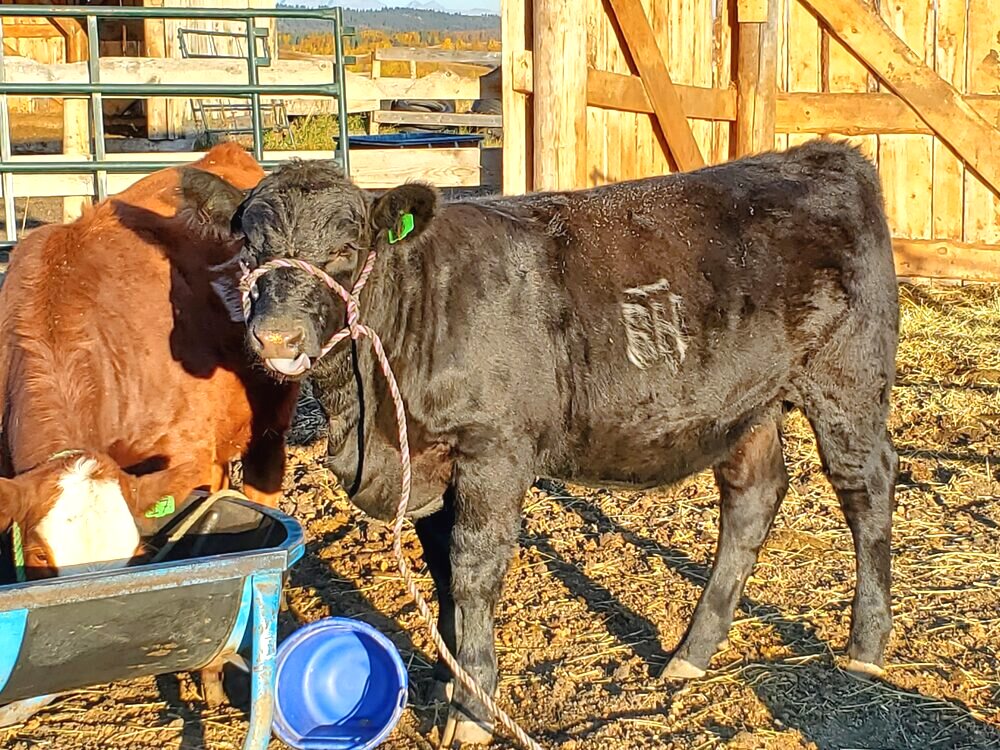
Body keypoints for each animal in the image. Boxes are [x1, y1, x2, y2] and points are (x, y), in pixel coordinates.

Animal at [227, 139, 900, 744]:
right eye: (250, 248)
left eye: (345, 249)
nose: (277, 336)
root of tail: (826, 155)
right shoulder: (432, 463)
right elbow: (441, 569)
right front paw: (449, 683)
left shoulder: (493, 450)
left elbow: (473, 569)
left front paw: (473, 711)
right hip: (746, 404)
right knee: (752, 499)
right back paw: (691, 653)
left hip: (847, 383)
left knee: (867, 491)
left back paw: (865, 647)